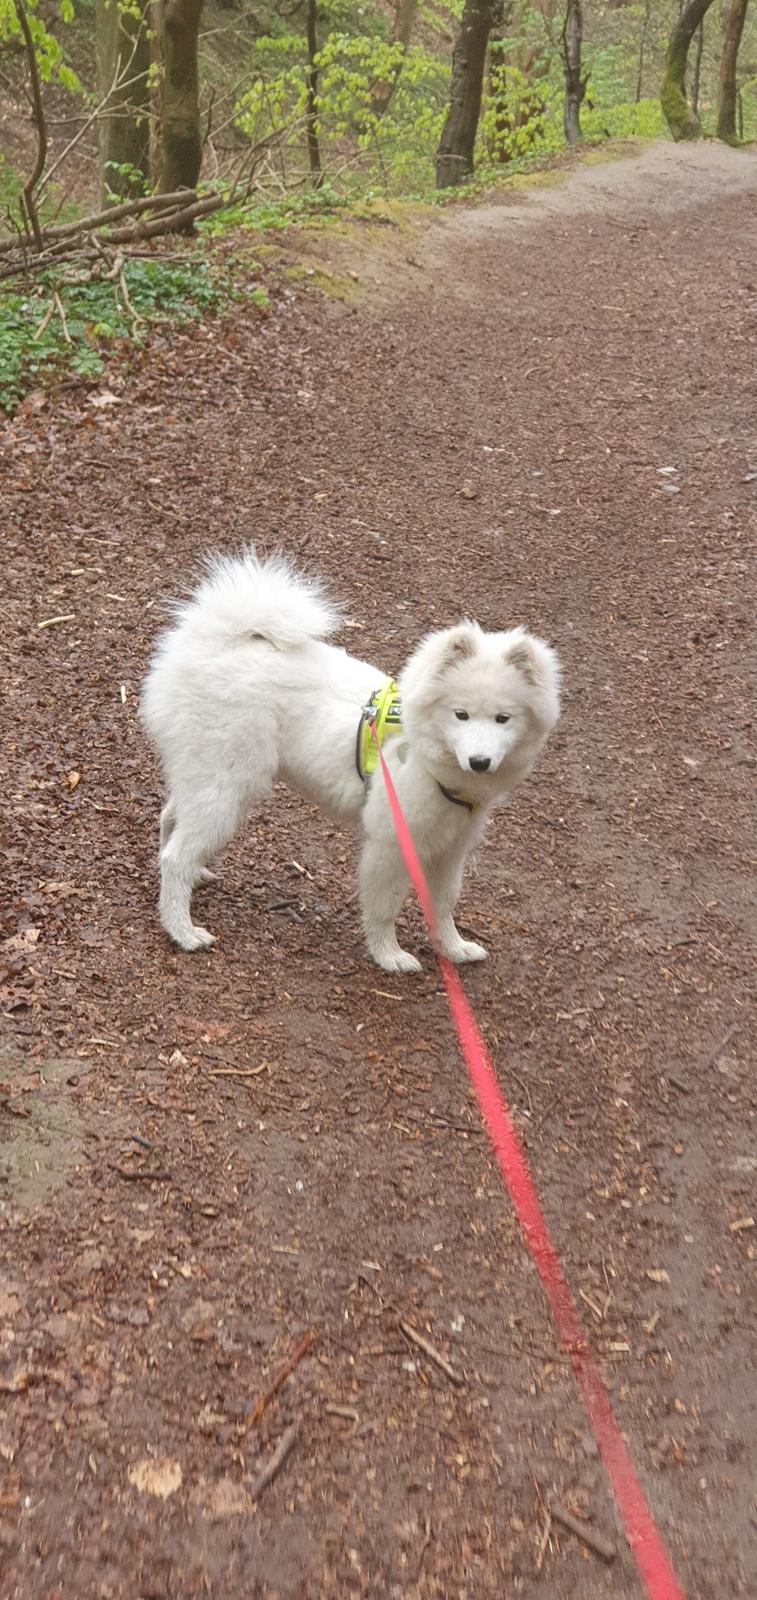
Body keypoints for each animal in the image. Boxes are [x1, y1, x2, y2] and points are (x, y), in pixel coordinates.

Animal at [138, 550, 556, 972]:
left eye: (503, 718)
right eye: (461, 715)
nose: (480, 761)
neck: (424, 753)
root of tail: (216, 643)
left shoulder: (451, 847)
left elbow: (443, 904)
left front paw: (453, 949)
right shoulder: (391, 844)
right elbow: (386, 907)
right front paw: (389, 956)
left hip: (207, 777)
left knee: (170, 819)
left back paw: (194, 876)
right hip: (228, 785)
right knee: (176, 856)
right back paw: (182, 931)